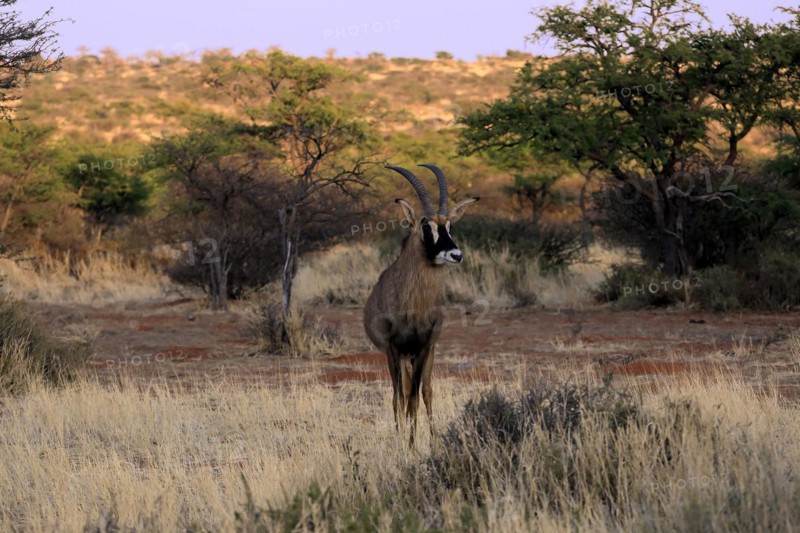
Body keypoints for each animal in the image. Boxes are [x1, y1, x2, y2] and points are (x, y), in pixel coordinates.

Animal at [364, 164, 479, 447]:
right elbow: (399, 398)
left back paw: (434, 437)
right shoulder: (393, 349)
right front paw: (402, 442)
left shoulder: (424, 348)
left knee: (426, 391)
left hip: (425, 354)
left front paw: (413, 444)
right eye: (427, 228)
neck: (412, 305)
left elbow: (416, 398)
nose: (456, 255)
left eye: (449, 226)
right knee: (403, 393)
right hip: (400, 357)